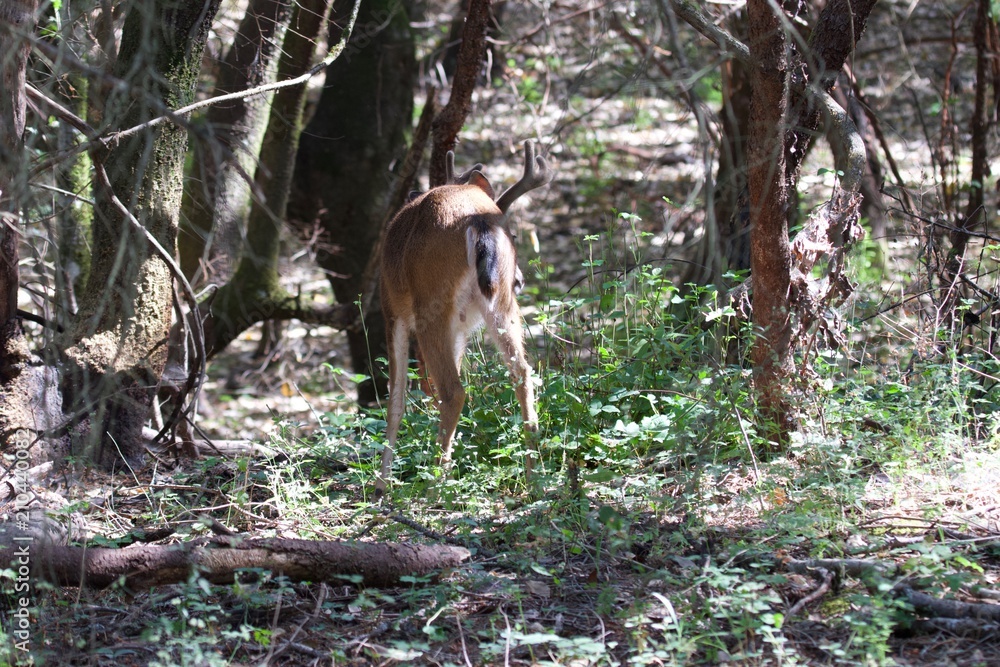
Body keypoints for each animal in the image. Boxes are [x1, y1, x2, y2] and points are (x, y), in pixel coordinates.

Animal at [377, 140, 552, 494]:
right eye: (515, 233)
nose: (520, 280)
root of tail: (479, 223)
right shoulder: (460, 328)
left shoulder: (392, 310)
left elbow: (396, 399)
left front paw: (382, 484)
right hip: (500, 306)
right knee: (522, 372)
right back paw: (533, 477)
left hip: (430, 305)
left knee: (453, 391)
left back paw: (434, 486)